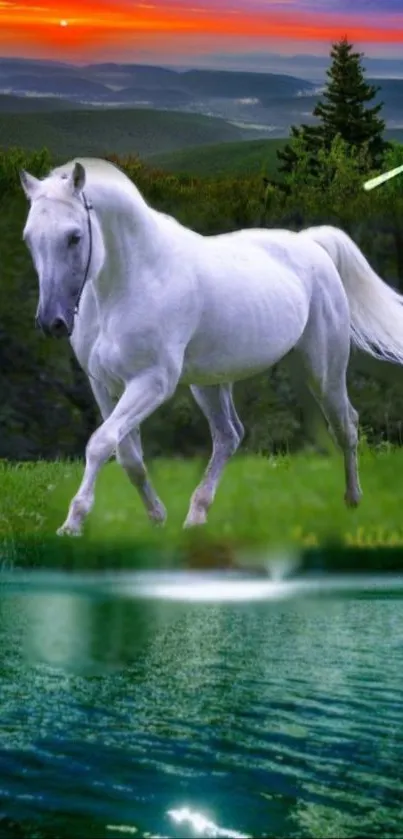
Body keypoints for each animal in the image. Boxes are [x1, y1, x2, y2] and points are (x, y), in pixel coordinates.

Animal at [19, 156, 403, 540]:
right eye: (29, 238)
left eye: (74, 236)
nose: (52, 322)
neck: (134, 280)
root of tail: (312, 244)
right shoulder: (102, 385)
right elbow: (127, 455)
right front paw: (157, 517)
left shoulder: (151, 382)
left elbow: (100, 443)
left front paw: (72, 523)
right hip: (210, 383)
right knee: (229, 436)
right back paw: (196, 516)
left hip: (324, 370)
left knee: (345, 425)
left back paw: (352, 501)